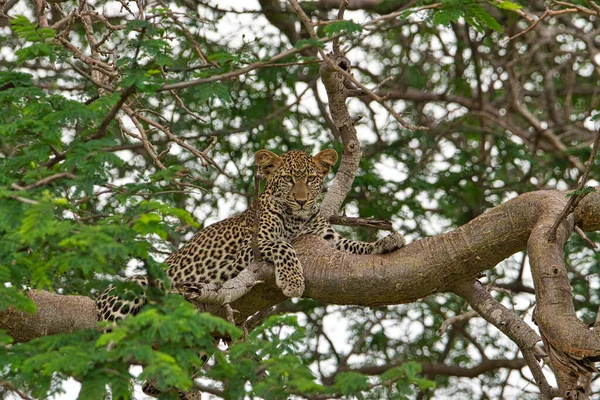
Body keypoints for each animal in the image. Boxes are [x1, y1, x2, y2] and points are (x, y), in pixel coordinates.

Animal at [96, 148, 406, 324]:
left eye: (311, 179)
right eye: (288, 180)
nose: (302, 200)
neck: (298, 219)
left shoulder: (328, 240)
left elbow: (355, 245)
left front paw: (388, 240)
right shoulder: (250, 248)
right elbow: (284, 245)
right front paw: (293, 281)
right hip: (132, 286)